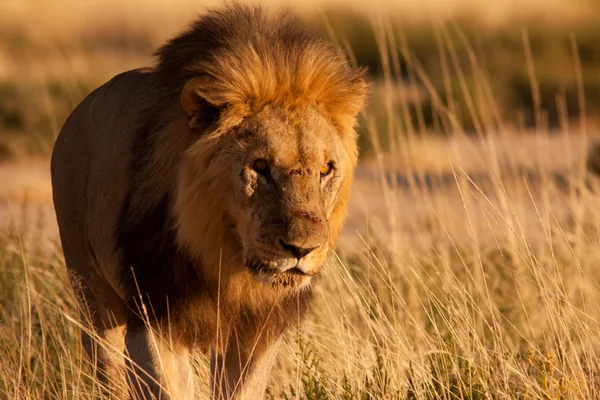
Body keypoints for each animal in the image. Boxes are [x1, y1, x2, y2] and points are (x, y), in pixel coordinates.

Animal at [51, 3, 368, 400]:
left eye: (326, 169)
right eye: (260, 167)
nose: (301, 249)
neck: (224, 257)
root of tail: (78, 110)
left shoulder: (257, 333)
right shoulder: (152, 313)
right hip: (92, 292)